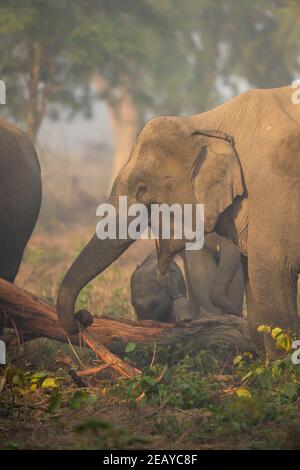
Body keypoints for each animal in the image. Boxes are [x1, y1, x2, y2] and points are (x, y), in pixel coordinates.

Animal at [56, 86, 300, 356]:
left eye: (142, 189)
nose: (83, 317)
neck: (204, 122)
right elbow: (256, 290)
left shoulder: (272, 191)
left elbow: (270, 275)